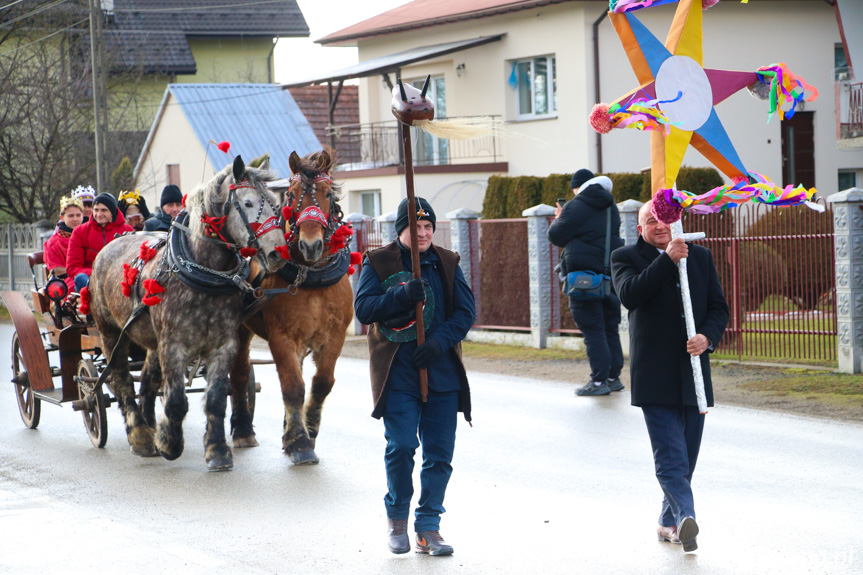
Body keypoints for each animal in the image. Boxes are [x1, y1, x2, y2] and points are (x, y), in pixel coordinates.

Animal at [230, 147, 354, 464]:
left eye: (327, 193)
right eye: (292, 194)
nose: (311, 245)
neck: (311, 276)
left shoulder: (334, 336)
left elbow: (322, 383)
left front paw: (306, 429)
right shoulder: (282, 337)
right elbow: (292, 385)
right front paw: (300, 442)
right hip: (239, 330)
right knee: (239, 373)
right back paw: (242, 430)